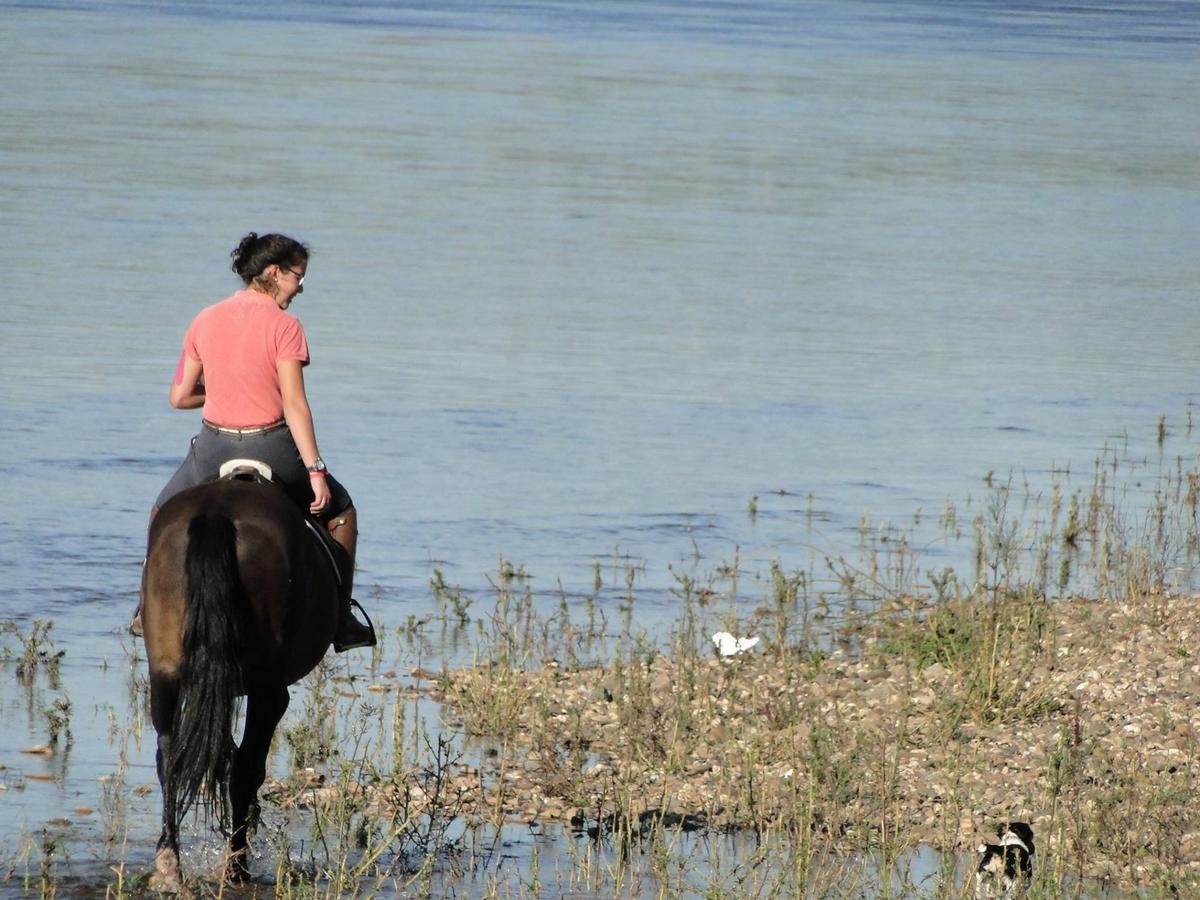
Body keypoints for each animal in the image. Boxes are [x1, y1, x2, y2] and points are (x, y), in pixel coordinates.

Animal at [144, 468, 348, 892]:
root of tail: (217, 514)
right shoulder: (267, 692)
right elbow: (244, 765)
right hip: (266, 688)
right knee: (243, 769)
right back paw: (236, 867)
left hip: (166, 672)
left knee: (169, 755)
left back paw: (170, 864)